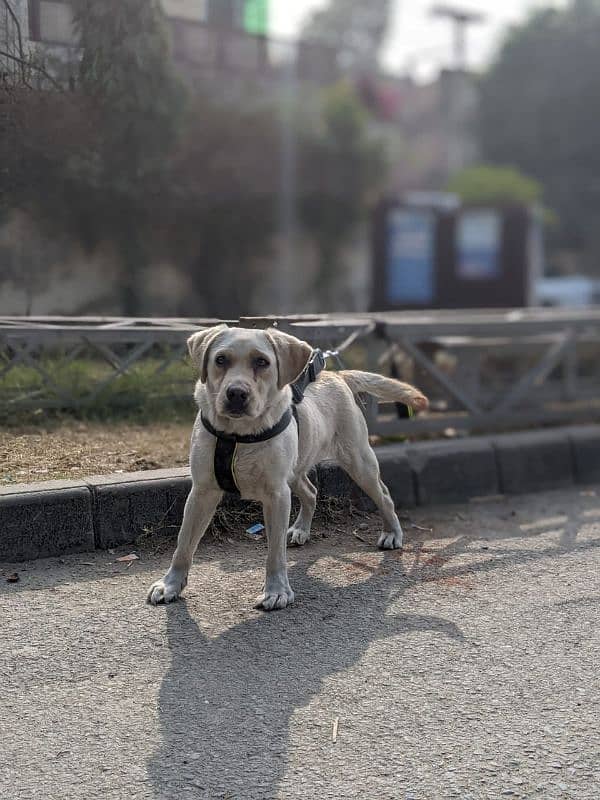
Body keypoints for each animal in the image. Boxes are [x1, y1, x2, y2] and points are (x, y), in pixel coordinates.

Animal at [146, 324, 426, 612]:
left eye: (262, 362)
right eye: (220, 360)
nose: (236, 393)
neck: (238, 434)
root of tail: (337, 375)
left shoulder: (276, 495)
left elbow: (274, 552)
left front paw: (277, 590)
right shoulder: (202, 491)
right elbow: (183, 544)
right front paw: (171, 584)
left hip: (358, 462)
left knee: (384, 495)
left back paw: (392, 533)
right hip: (295, 469)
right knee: (311, 492)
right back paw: (302, 529)